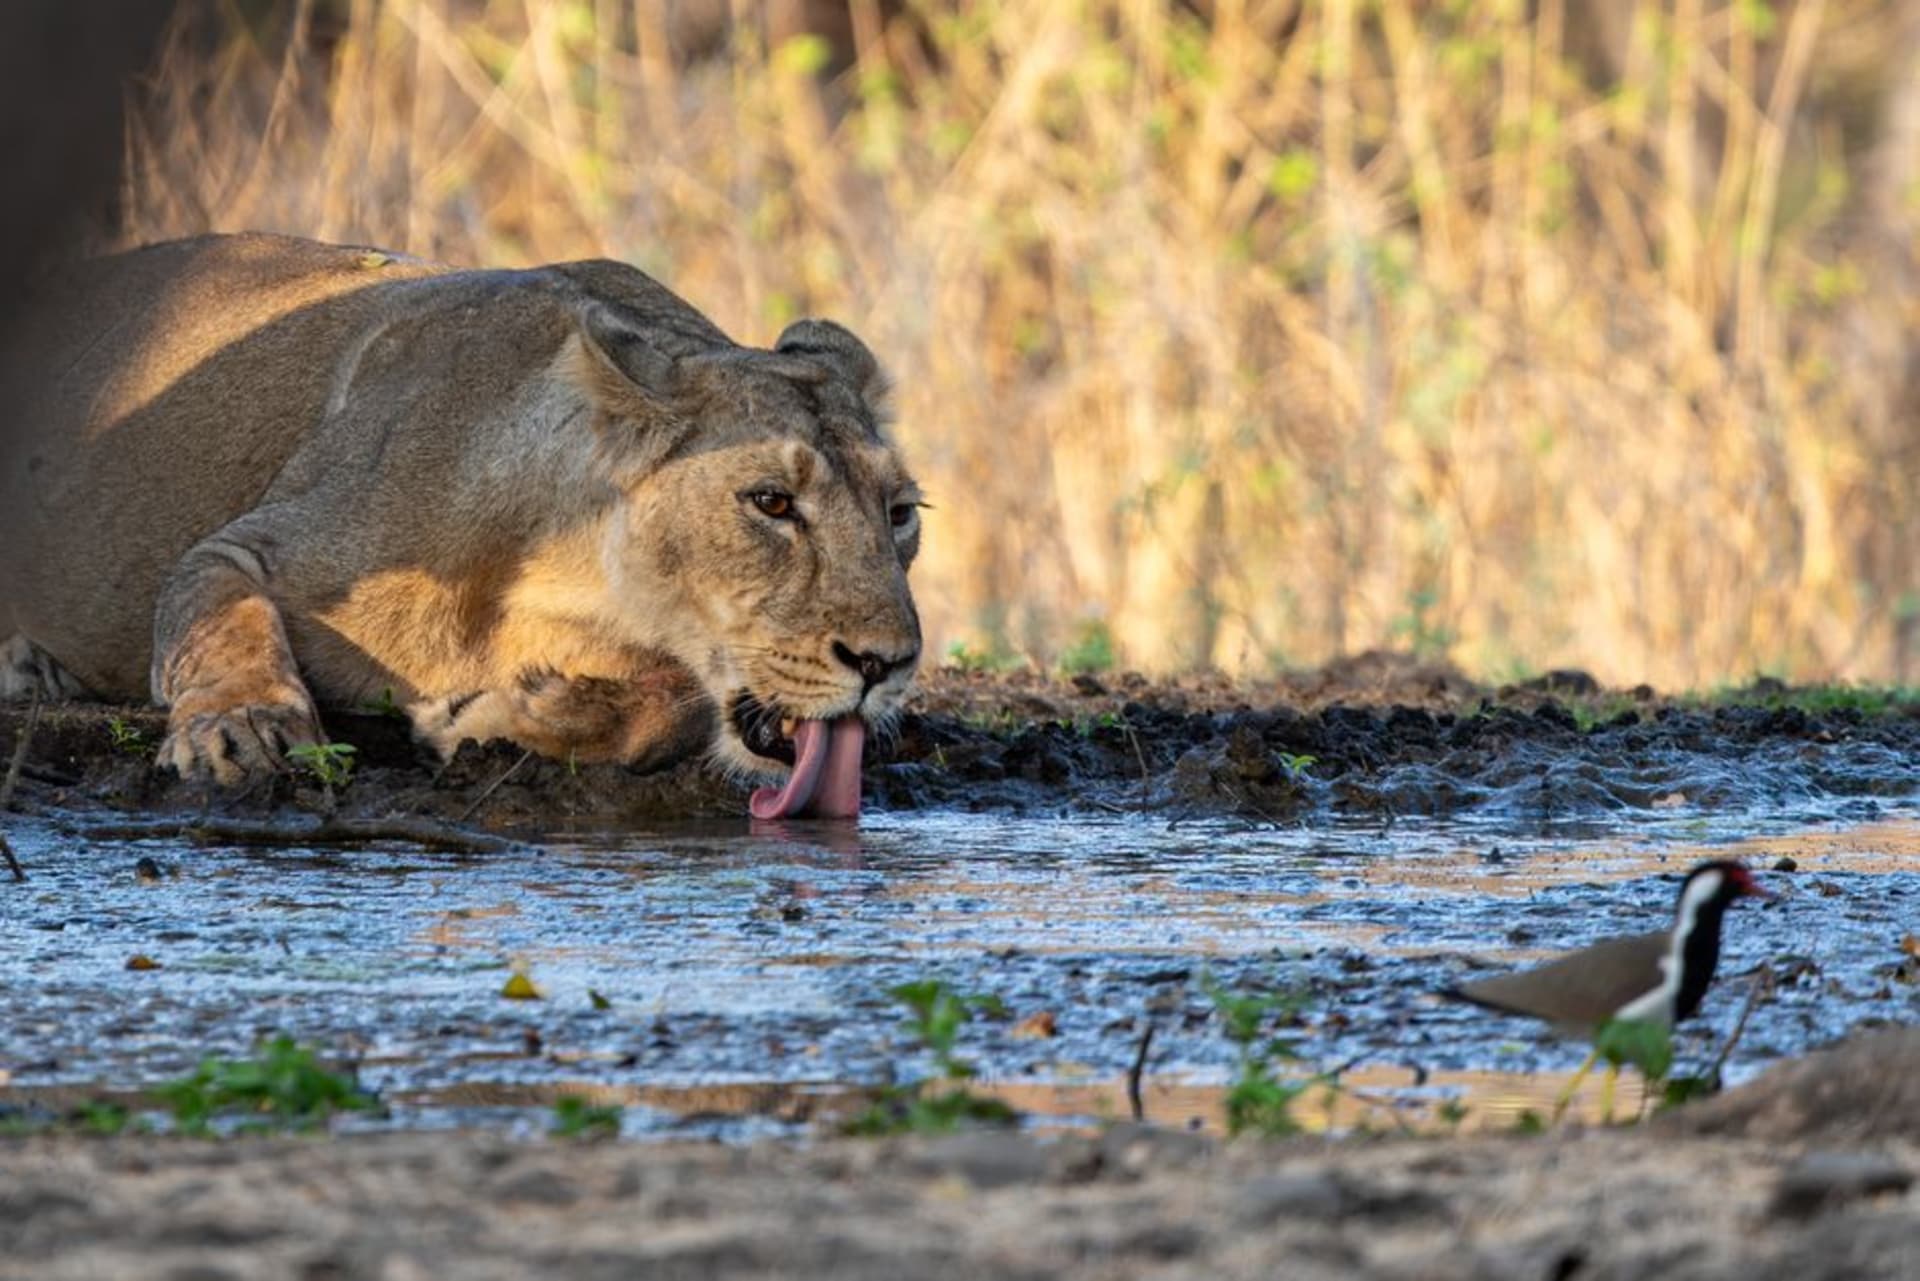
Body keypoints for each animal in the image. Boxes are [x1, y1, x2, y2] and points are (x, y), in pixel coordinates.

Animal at [0, 233, 923, 819]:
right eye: (771, 502)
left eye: (901, 514)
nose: (888, 664)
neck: (566, 578)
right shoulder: (245, 547)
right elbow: (222, 622)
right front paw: (244, 729)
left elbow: (675, 706)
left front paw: (493, 715)